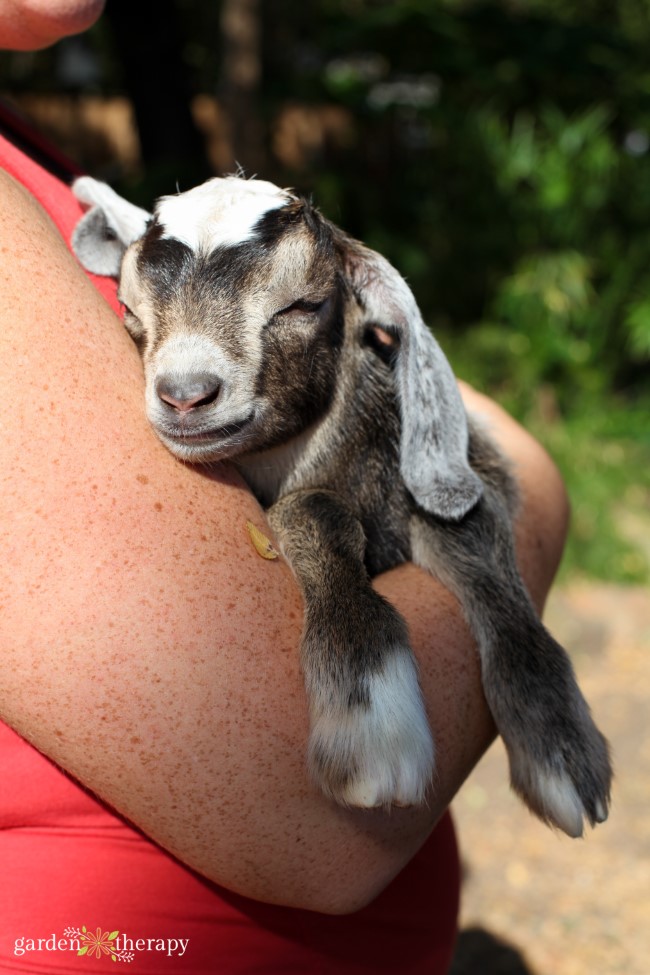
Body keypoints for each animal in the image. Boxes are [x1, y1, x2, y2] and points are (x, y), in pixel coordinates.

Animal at [73, 175, 612, 840]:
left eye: (303, 305)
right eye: (129, 310)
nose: (185, 395)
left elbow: (474, 539)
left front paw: (562, 750)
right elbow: (315, 511)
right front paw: (374, 717)